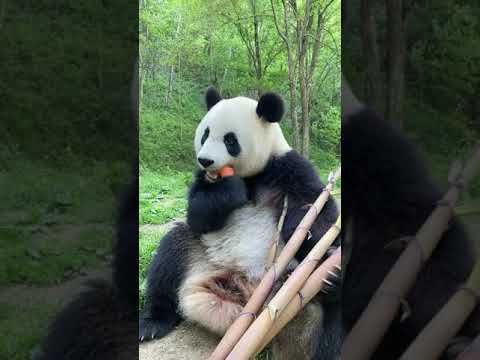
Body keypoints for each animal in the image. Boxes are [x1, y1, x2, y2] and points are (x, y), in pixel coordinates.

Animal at [139, 86, 342, 358]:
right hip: (200, 255)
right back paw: (151, 324)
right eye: (205, 134)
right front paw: (229, 190)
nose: (205, 160)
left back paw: (332, 278)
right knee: (170, 253)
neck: (251, 176)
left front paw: (307, 225)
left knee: (333, 319)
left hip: (299, 287)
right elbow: (198, 216)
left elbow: (317, 212)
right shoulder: (202, 180)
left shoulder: (289, 167)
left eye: (230, 140)